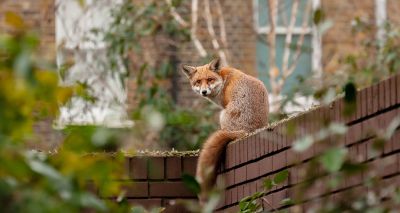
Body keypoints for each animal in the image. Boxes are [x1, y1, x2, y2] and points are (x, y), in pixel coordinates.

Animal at [181, 57, 268, 202]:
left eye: (210, 79)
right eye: (198, 82)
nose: (204, 92)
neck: (223, 79)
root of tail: (248, 131)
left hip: (221, 116)